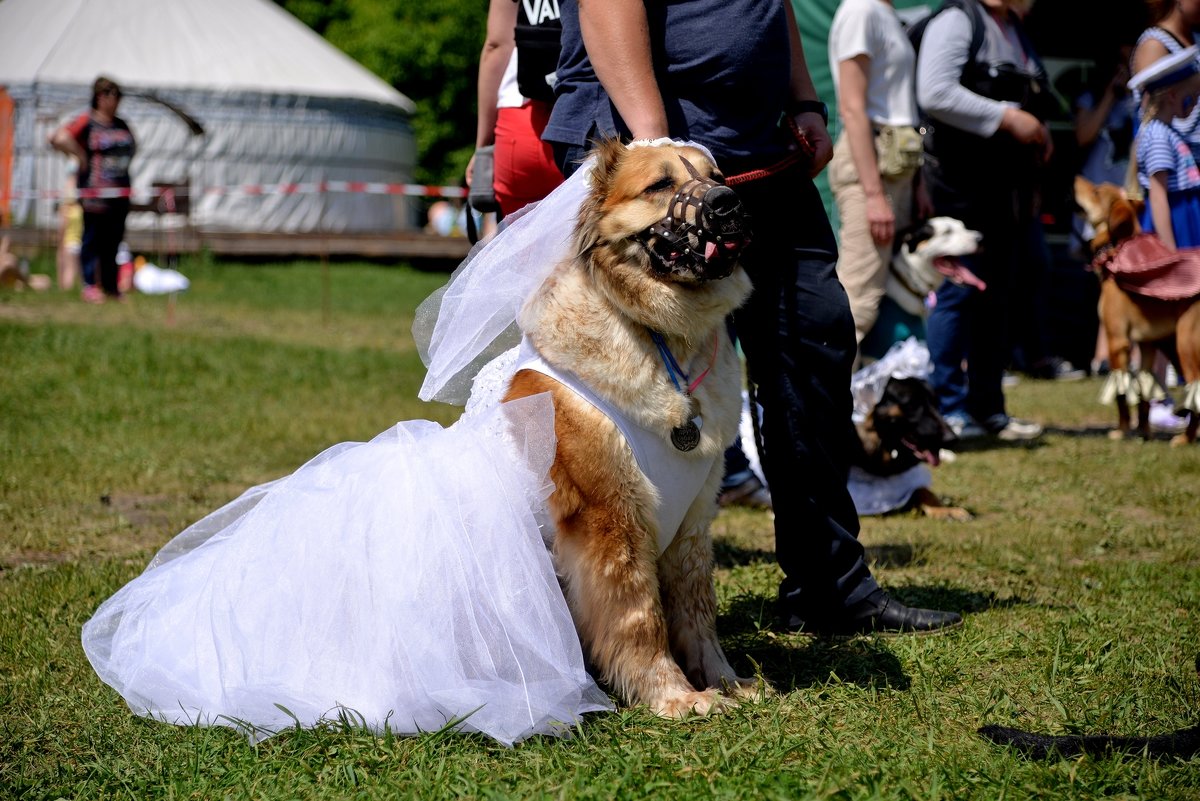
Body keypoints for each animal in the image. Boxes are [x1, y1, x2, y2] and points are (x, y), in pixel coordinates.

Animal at [506, 140, 758, 714]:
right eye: (660, 185)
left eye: (719, 176)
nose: (730, 204)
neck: (665, 339)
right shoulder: (612, 521)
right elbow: (640, 617)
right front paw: (675, 697)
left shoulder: (692, 523)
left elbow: (697, 611)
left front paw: (725, 682)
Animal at [1075, 176, 1195, 443]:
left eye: (1096, 192)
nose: (1075, 179)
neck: (1117, 250)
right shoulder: (1147, 343)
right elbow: (1143, 390)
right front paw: (1143, 432)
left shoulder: (1117, 340)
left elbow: (1121, 392)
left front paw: (1121, 431)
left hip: (1184, 345)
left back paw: (1185, 438)